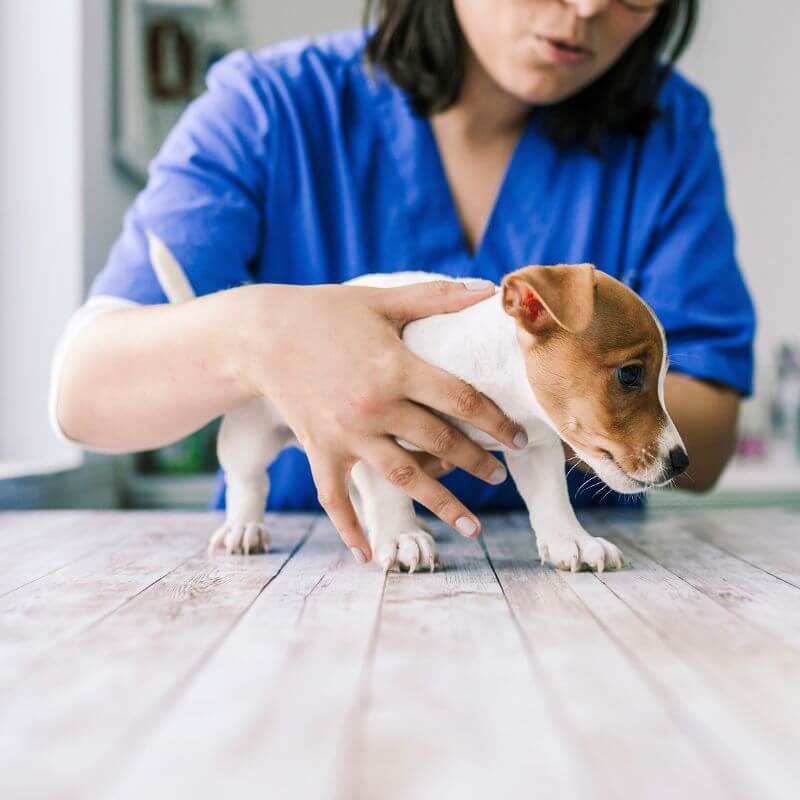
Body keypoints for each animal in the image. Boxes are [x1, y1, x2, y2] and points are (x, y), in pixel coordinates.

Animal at [147, 233, 692, 576]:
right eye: (629, 375)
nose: (681, 462)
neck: (488, 371)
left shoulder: (533, 446)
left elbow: (550, 500)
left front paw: (570, 541)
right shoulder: (371, 429)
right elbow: (389, 488)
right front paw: (403, 537)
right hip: (251, 435)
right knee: (248, 482)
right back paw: (244, 527)